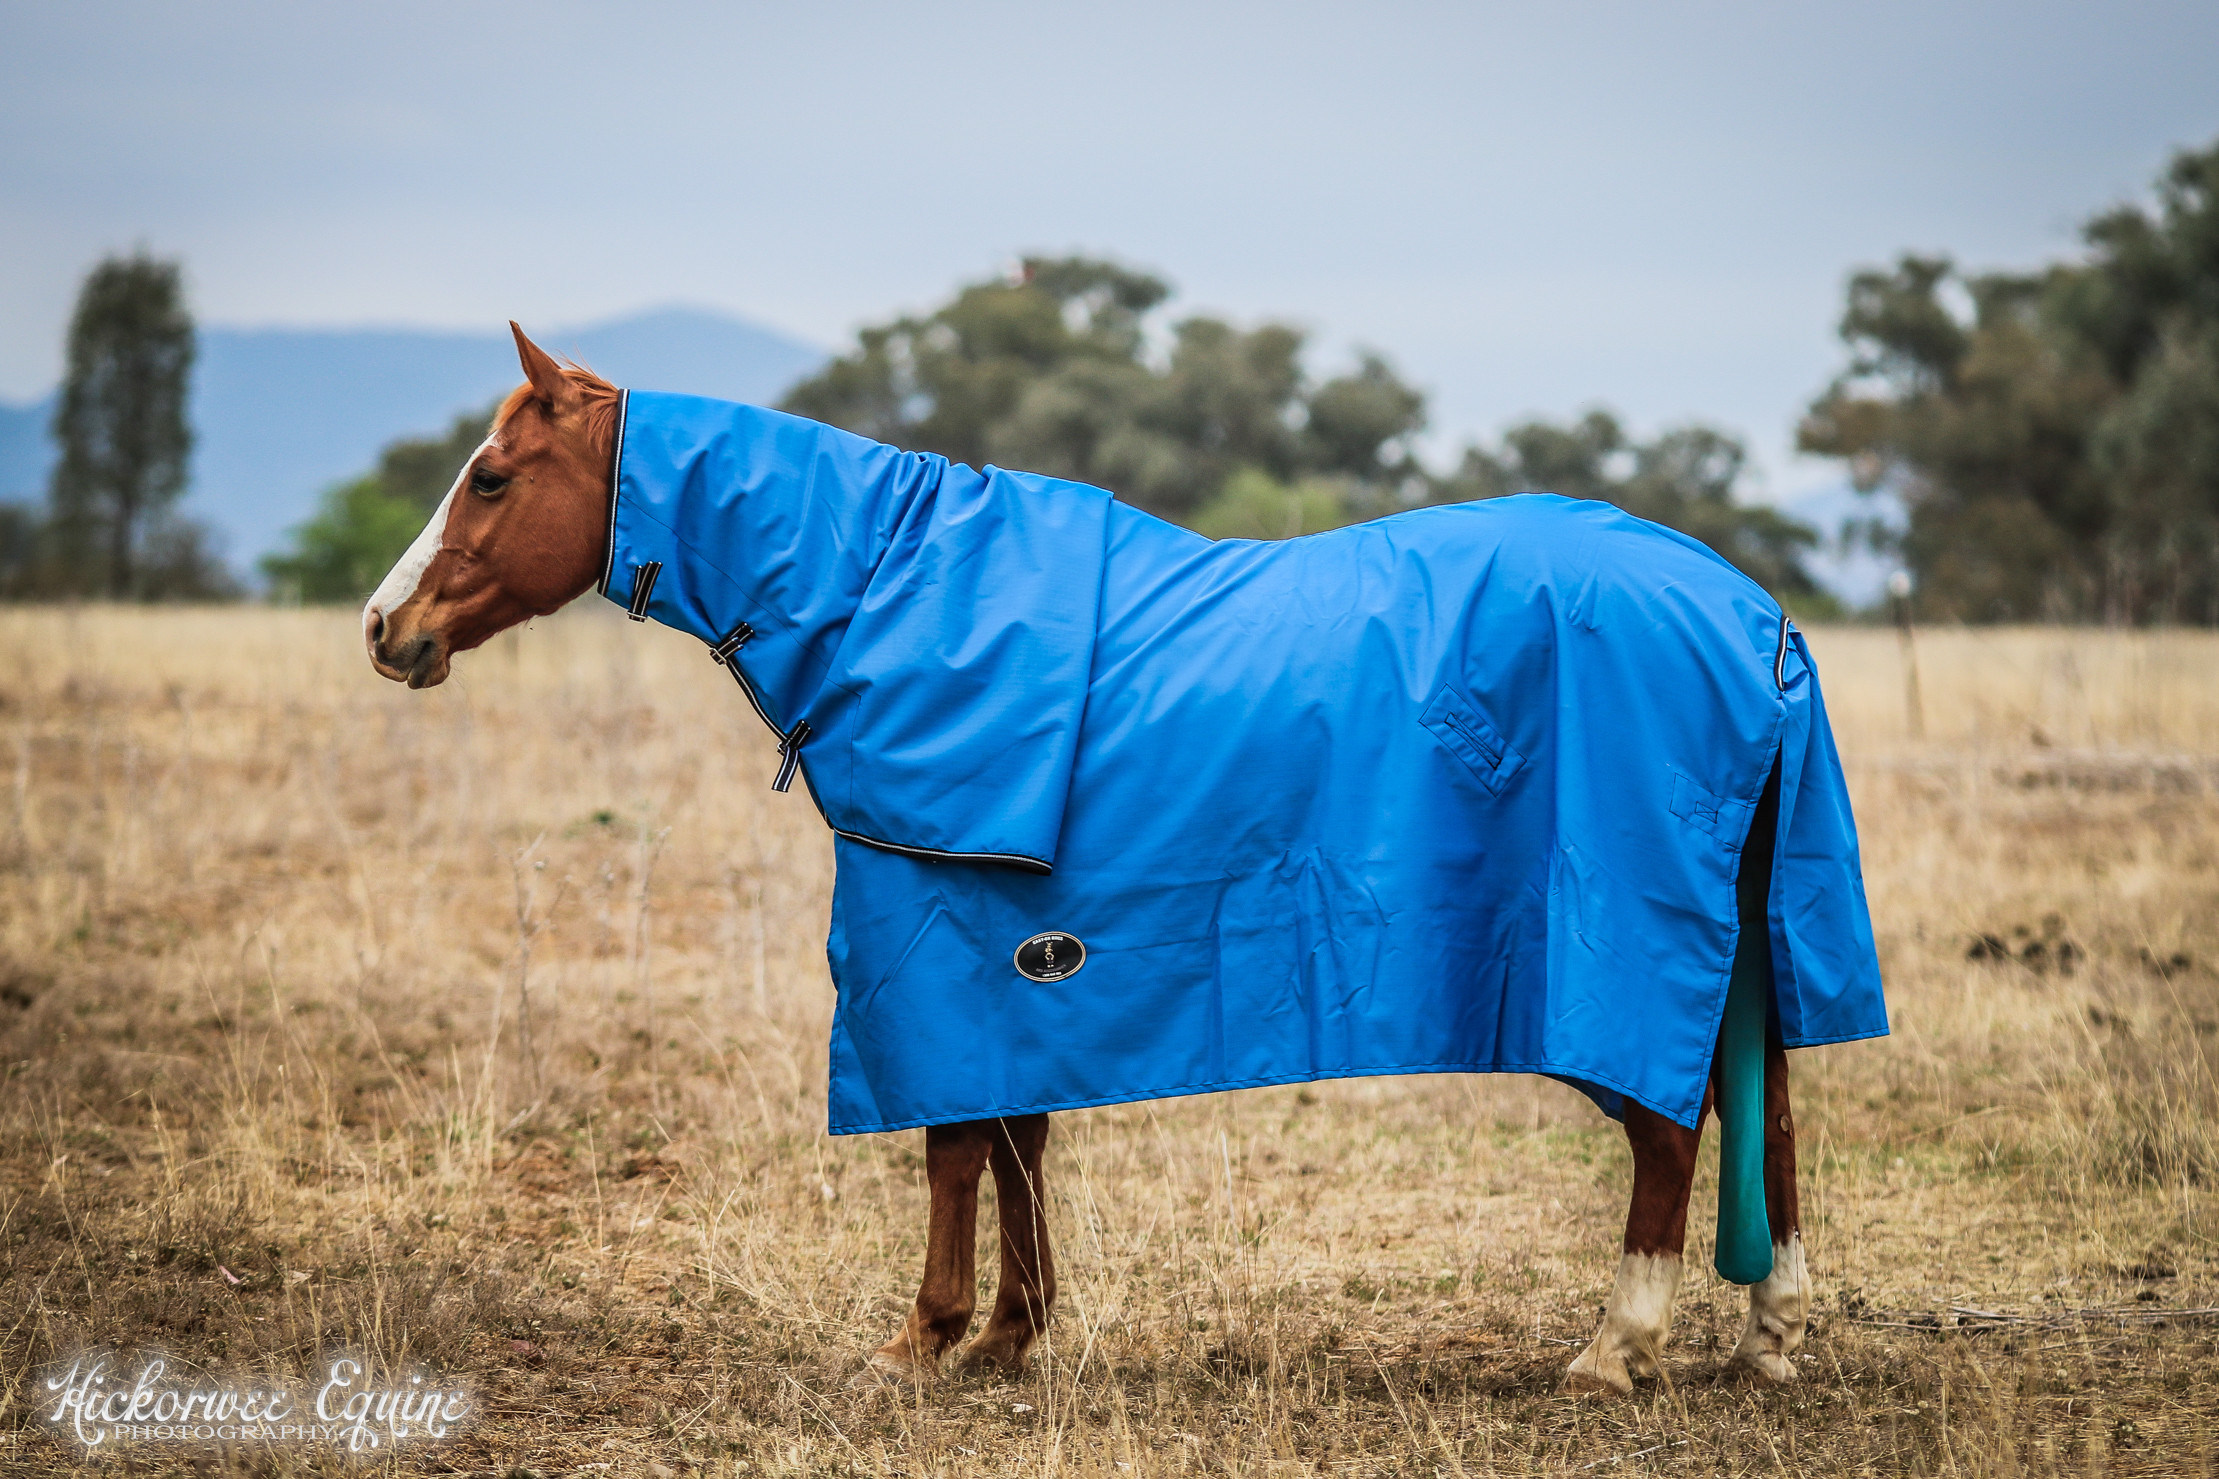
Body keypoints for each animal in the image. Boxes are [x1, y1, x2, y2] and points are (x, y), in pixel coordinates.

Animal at [367, 324, 1873, 1394]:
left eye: (491, 476)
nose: (387, 630)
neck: (891, 596)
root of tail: (1753, 616)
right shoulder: (1014, 961)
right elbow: (1014, 1134)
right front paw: (1009, 1334)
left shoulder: (938, 940)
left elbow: (955, 1146)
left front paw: (926, 1337)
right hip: (1742, 934)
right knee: (1766, 1106)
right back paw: (1768, 1331)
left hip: (1613, 950)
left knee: (1669, 1124)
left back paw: (1614, 1347)